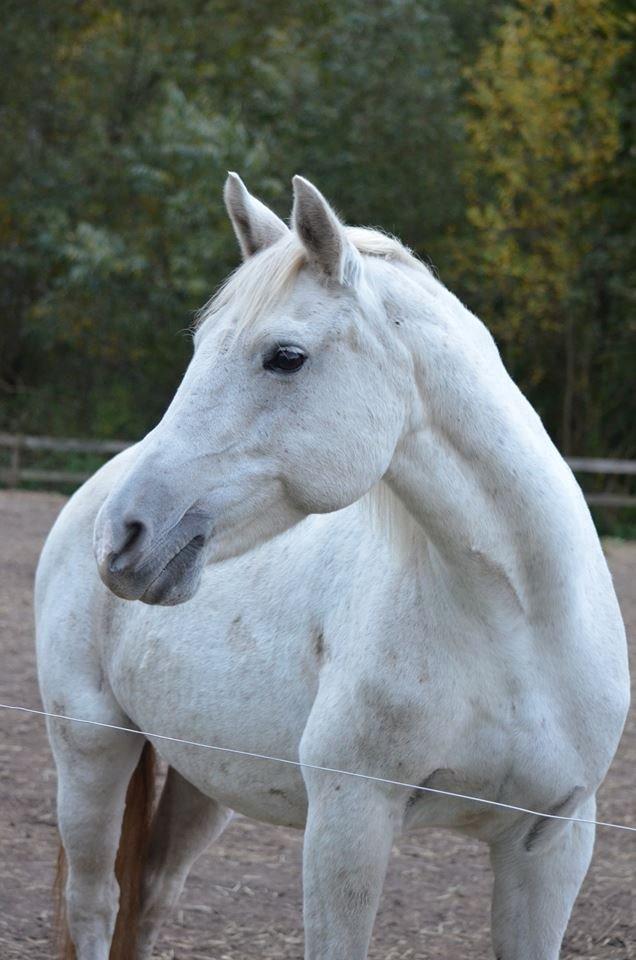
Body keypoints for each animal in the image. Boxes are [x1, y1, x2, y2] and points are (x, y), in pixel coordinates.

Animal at [37, 174, 628, 960]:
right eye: (200, 347)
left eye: (285, 356)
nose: (125, 538)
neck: (518, 623)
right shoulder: (350, 823)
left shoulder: (552, 843)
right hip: (91, 749)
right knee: (97, 902)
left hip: (202, 778)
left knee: (152, 892)